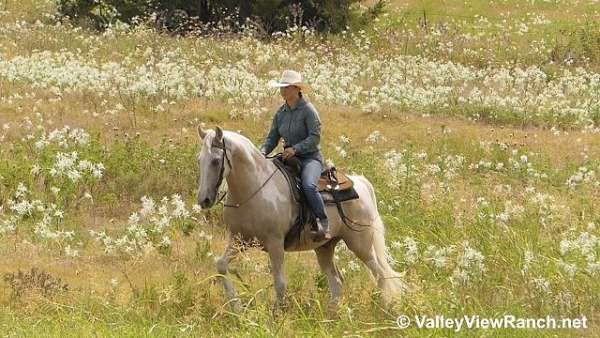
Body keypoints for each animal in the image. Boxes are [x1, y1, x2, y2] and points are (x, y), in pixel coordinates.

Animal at [196, 125, 404, 312]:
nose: (204, 200)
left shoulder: (275, 243)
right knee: (336, 281)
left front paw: (279, 316)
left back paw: (384, 309)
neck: (255, 188)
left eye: (216, 161)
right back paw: (331, 316)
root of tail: (360, 182)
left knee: (380, 274)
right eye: (200, 160)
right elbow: (221, 265)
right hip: (325, 248)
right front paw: (236, 305)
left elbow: (280, 283)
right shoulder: (240, 241)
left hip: (360, 244)